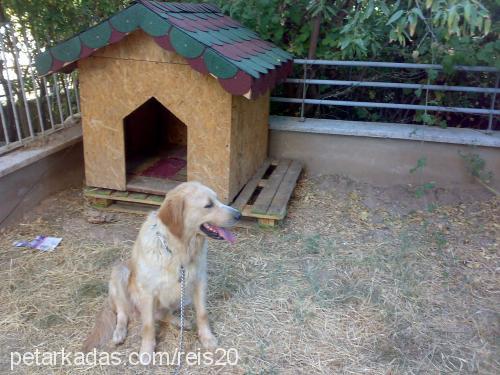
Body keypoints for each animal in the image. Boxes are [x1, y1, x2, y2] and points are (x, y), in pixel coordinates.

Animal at [82, 182, 240, 364]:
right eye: (208, 205)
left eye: (218, 200)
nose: (239, 215)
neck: (179, 249)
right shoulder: (148, 292)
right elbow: (148, 325)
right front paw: (146, 351)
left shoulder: (199, 281)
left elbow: (202, 314)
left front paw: (207, 337)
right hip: (120, 273)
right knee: (123, 313)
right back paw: (119, 333)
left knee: (162, 314)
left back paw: (180, 322)